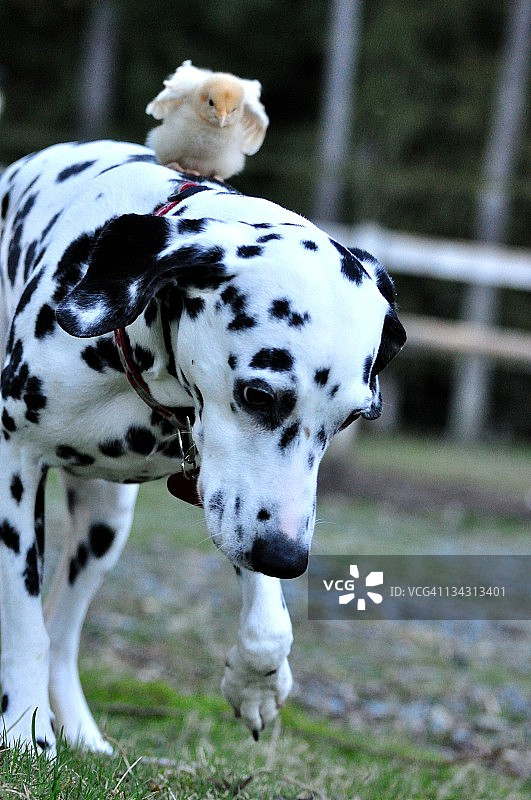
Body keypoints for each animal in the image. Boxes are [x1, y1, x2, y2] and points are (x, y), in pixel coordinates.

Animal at [0, 140, 405, 754]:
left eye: (351, 418)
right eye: (258, 393)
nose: (288, 558)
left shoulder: (238, 505)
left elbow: (269, 622)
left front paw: (257, 682)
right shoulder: (14, 456)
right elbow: (24, 628)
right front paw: (26, 734)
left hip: (104, 526)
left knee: (64, 630)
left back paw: (81, 730)